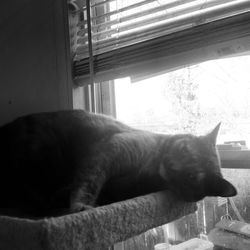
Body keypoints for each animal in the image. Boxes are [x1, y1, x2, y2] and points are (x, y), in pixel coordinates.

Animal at [0, 109, 236, 217]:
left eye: (191, 177)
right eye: (184, 149)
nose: (171, 164)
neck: (150, 169)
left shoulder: (125, 186)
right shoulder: (110, 150)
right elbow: (89, 182)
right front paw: (80, 206)